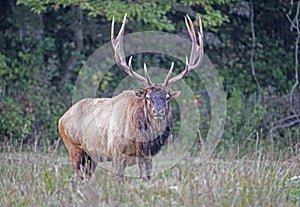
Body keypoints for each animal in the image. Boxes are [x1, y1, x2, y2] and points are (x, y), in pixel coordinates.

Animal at [58, 13, 204, 181]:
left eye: (167, 97)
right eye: (148, 97)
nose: (158, 111)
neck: (141, 141)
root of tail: (61, 118)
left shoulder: (147, 157)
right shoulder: (116, 152)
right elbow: (117, 180)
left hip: (91, 157)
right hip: (74, 148)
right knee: (75, 178)